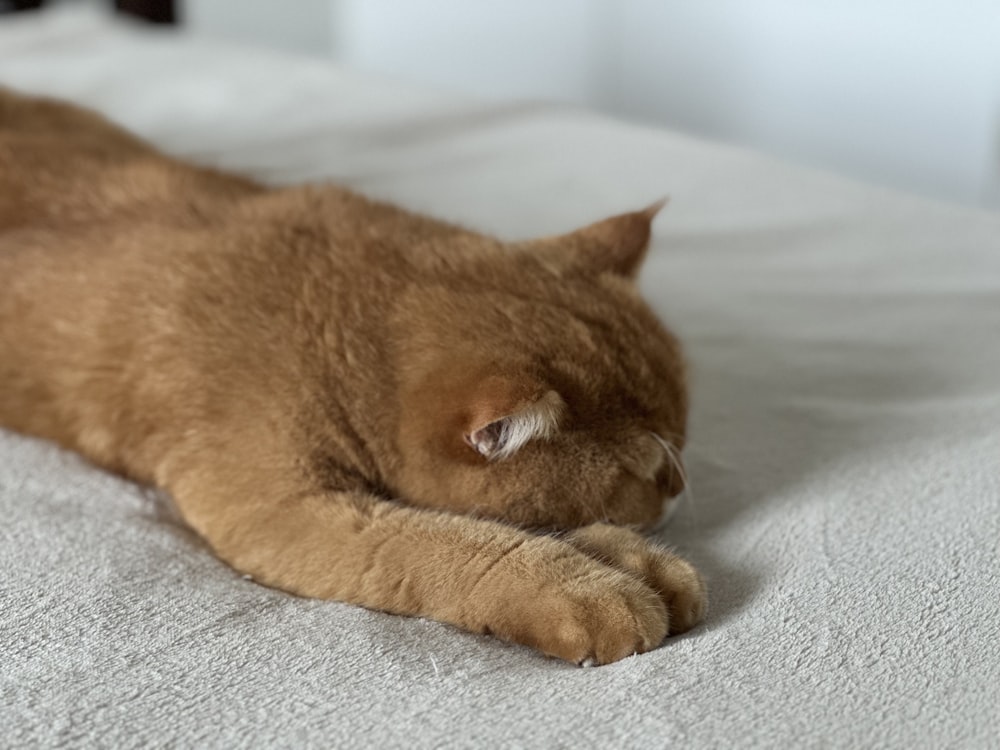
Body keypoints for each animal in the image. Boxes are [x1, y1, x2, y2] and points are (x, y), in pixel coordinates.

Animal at [0, 85, 708, 668]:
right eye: (648, 471)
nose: (680, 489)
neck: (337, 294)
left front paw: (629, 557)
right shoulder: (286, 513)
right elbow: (451, 544)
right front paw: (583, 586)